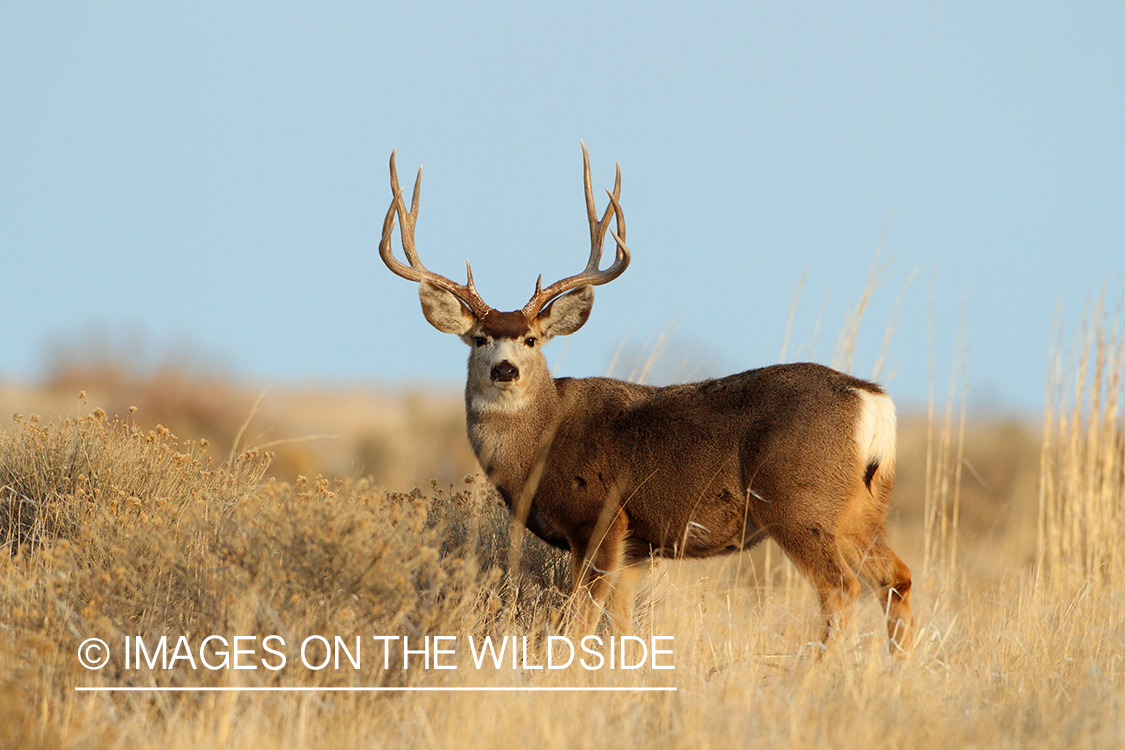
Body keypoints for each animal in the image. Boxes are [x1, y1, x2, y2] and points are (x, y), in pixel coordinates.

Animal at [377, 143, 913, 654]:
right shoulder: (635, 549)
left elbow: (579, 622)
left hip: (799, 500)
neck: (540, 444)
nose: (504, 369)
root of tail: (871, 400)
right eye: (480, 338)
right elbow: (621, 628)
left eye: (531, 339)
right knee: (897, 579)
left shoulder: (600, 519)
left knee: (841, 588)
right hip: (861, 507)